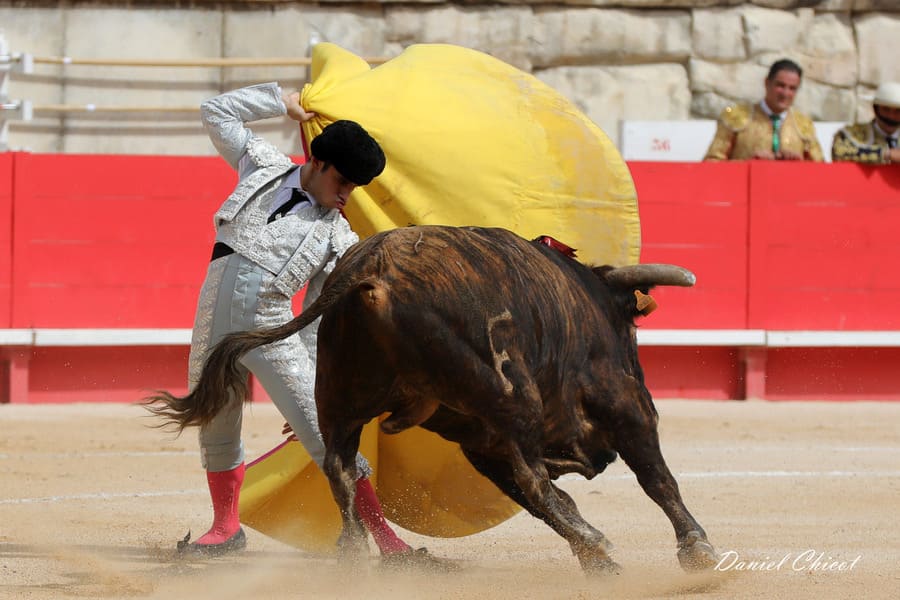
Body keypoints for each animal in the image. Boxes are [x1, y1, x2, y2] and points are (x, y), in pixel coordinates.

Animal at [153, 226, 716, 576]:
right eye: (629, 331)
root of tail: (372, 270)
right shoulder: (623, 404)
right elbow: (655, 477)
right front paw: (696, 549)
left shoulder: (483, 443)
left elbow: (551, 499)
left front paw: (597, 560)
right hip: (513, 397)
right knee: (535, 477)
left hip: (340, 396)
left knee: (339, 466)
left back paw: (353, 554)